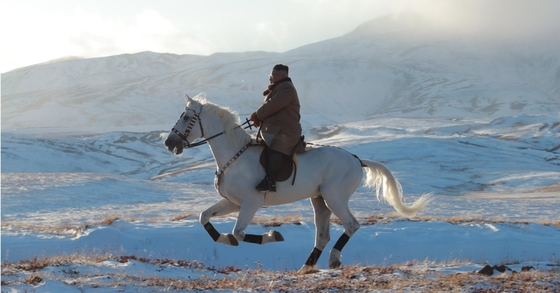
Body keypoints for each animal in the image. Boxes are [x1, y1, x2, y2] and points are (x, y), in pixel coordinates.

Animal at [164, 94, 430, 272]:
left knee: (351, 225)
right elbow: (205, 218)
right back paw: (306, 268)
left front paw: (273, 235)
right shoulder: (233, 202)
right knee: (322, 236)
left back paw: (333, 259)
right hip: (319, 200)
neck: (234, 155)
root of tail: (356, 160)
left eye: (186, 117)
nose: (169, 143)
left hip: (334, 197)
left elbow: (239, 233)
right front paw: (225, 240)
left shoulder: (251, 203)